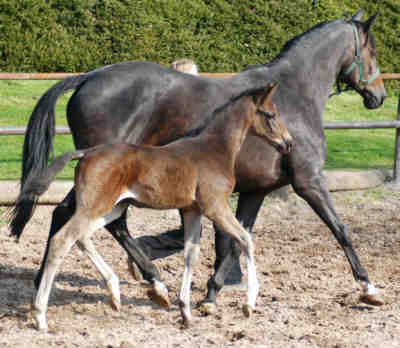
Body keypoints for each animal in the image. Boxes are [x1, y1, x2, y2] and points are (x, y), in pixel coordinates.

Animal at [14, 83, 292, 330]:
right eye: (271, 115)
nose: (288, 143)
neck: (214, 150)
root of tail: (86, 153)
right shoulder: (215, 206)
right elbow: (246, 240)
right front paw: (249, 305)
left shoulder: (193, 210)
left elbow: (191, 254)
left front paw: (185, 312)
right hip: (96, 205)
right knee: (63, 239)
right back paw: (40, 315)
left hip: (111, 207)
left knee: (82, 236)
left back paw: (115, 292)